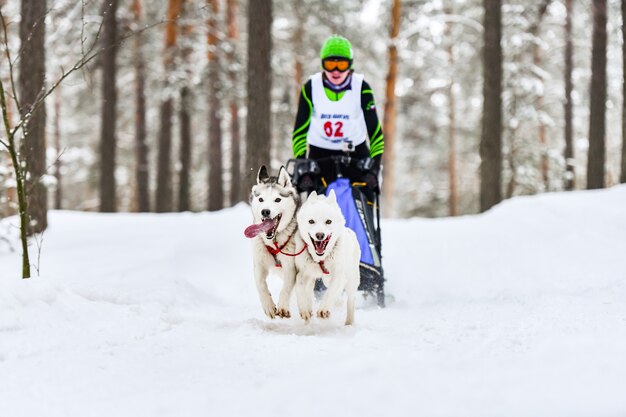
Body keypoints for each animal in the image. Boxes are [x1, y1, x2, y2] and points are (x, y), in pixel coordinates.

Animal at [244, 166, 300, 318]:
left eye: (277, 199)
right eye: (261, 199)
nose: (265, 211)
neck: (273, 241)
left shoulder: (291, 266)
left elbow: (286, 287)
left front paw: (283, 306)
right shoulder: (259, 263)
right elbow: (260, 285)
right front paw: (268, 305)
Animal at [294, 189, 358, 324]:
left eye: (328, 221)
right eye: (311, 221)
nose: (320, 235)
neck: (320, 259)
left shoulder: (339, 275)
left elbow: (331, 292)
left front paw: (323, 309)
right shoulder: (303, 272)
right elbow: (299, 285)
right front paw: (305, 309)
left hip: (351, 280)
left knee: (350, 299)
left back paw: (349, 322)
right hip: (322, 279)